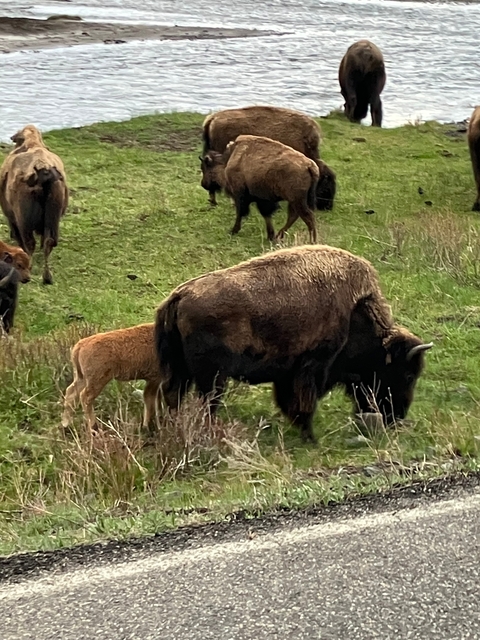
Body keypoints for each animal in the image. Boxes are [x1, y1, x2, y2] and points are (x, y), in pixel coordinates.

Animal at [0, 124, 69, 285]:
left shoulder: (12, 217)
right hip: (53, 220)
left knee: (29, 243)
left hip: (23, 221)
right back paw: (47, 277)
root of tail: (43, 169)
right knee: (49, 242)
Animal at [154, 245, 432, 442]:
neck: (356, 314)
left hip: (182, 372)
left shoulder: (287, 374)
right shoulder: (312, 367)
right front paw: (310, 437)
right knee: (206, 403)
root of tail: (179, 296)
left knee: (175, 396)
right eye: (408, 375)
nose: (397, 416)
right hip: (212, 378)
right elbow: (305, 402)